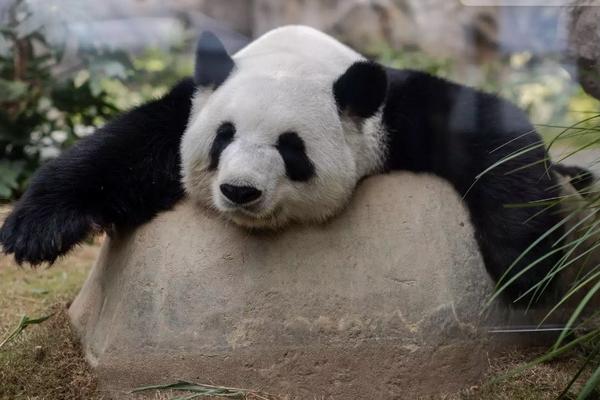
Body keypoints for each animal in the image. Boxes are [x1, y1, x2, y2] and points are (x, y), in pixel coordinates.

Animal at [0, 26, 592, 302]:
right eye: (223, 137)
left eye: (291, 148)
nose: (240, 191)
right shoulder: (188, 108)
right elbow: (122, 146)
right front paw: (35, 229)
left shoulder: (393, 111)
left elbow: (491, 133)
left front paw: (526, 272)